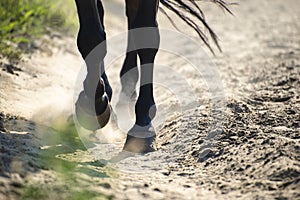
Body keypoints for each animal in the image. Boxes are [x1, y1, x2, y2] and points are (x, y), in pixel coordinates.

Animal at [73, 0, 232, 153]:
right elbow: (91, 36)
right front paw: (94, 104)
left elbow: (146, 35)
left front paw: (143, 125)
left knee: (131, 17)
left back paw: (127, 88)